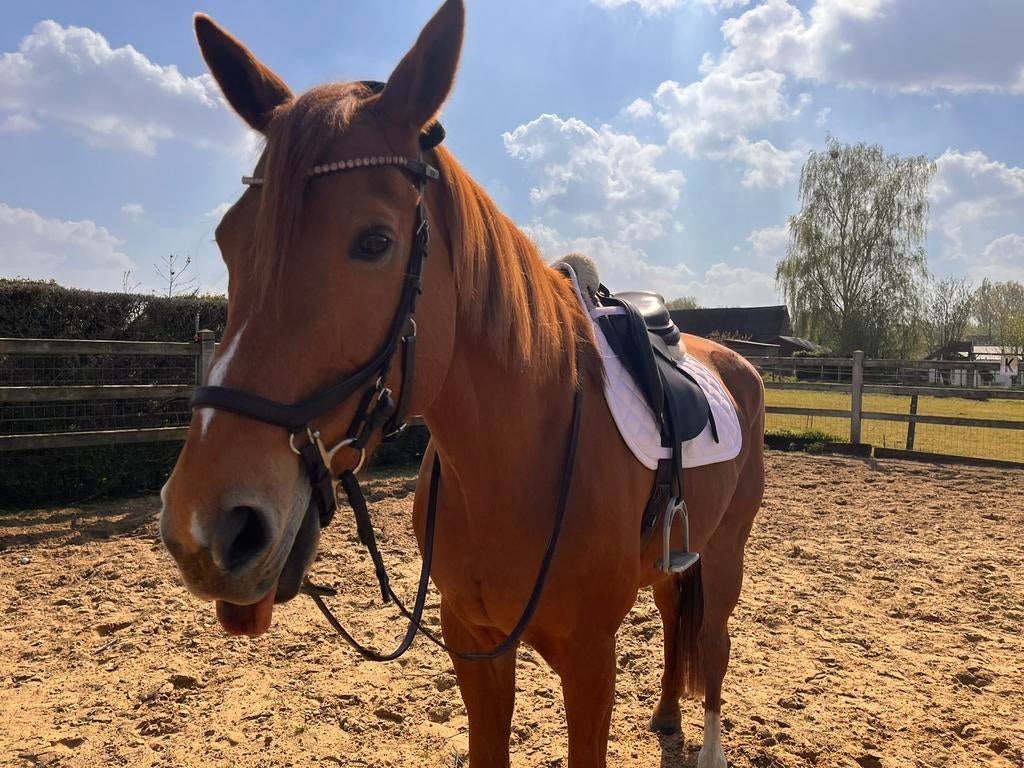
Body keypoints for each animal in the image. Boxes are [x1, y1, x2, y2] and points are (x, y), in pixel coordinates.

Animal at [159, 2, 765, 766]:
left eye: (375, 241)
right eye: (228, 240)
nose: (206, 530)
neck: (518, 455)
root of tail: (737, 361)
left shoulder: (590, 661)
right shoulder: (475, 648)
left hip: (725, 554)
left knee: (712, 645)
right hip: (674, 563)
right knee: (674, 622)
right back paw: (666, 717)